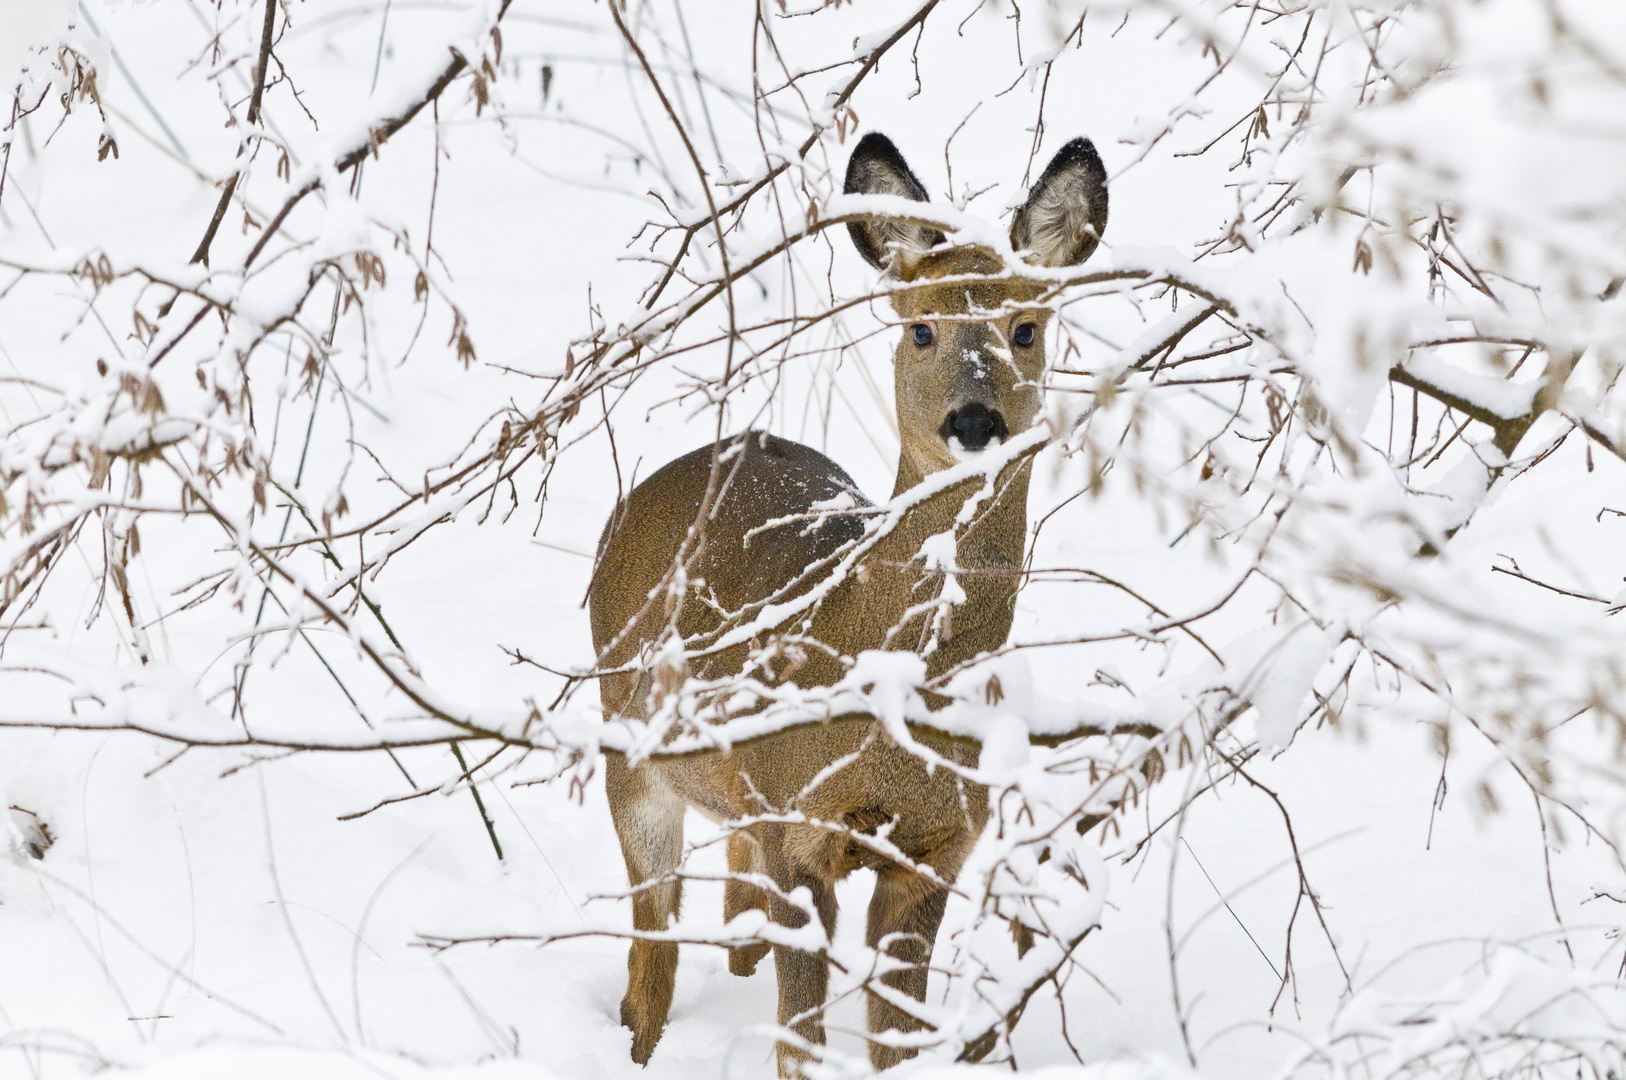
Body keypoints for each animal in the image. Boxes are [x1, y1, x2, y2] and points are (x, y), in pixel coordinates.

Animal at [585, 130, 1105, 1073]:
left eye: (1026, 329)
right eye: (921, 327)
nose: (974, 423)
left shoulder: (937, 847)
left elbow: (895, 1037)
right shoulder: (800, 830)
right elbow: (801, 1040)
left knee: (730, 906)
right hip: (629, 740)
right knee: (652, 951)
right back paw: (638, 1042)